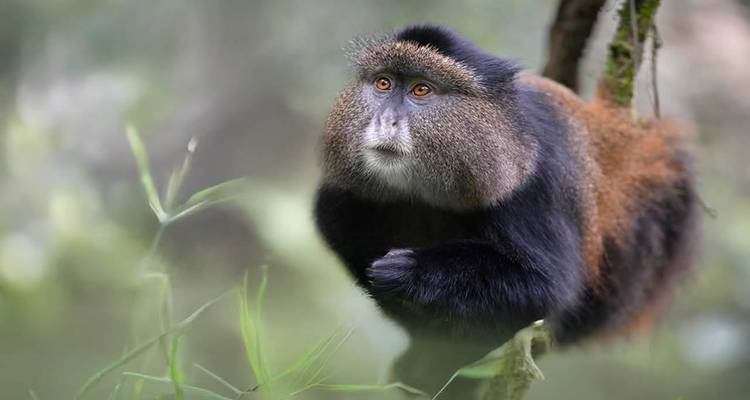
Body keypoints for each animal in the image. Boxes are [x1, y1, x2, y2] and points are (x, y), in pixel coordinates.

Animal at [313, 24, 698, 393]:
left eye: (421, 90)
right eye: (383, 83)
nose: (386, 120)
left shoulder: (533, 183)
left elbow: (546, 285)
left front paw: (410, 272)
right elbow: (334, 216)